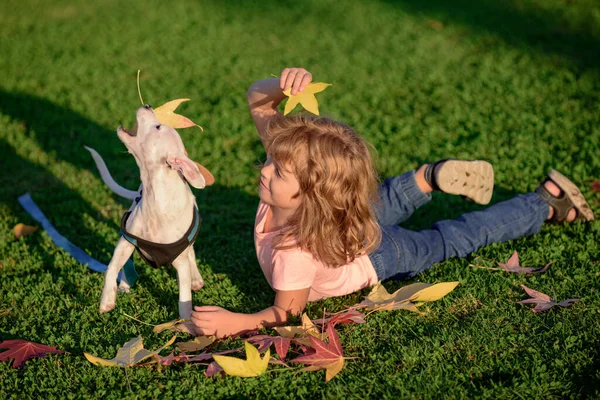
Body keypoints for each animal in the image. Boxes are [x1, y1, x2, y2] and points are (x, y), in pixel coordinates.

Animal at [85, 104, 213, 318]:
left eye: (158, 126)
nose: (147, 105)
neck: (155, 197)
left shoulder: (181, 263)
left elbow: (184, 300)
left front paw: (186, 322)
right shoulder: (126, 242)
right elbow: (111, 267)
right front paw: (107, 300)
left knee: (191, 253)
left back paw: (196, 279)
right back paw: (124, 284)